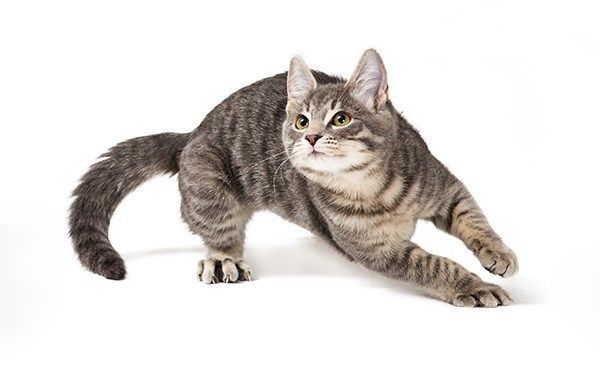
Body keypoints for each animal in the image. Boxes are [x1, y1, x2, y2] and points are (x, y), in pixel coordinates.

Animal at [69, 49, 516, 308]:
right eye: (301, 121)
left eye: (341, 119)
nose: (312, 136)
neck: (372, 187)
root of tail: (194, 132)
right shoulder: (377, 250)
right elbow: (433, 265)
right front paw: (473, 286)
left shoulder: (444, 185)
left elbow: (474, 218)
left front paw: (497, 252)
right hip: (210, 186)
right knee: (218, 231)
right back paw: (223, 258)